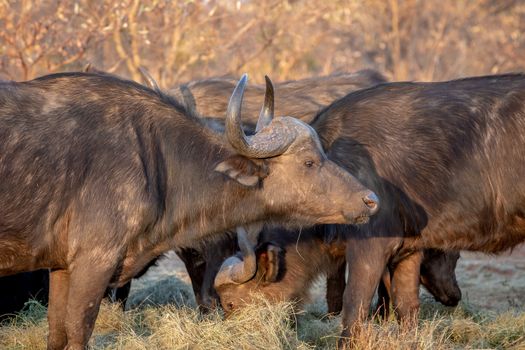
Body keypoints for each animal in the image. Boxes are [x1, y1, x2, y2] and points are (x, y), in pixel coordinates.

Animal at [0, 72, 376, 348]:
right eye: (309, 162)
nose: (370, 199)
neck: (153, 157)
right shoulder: (94, 262)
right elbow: (78, 332)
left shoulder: (61, 267)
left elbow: (57, 333)